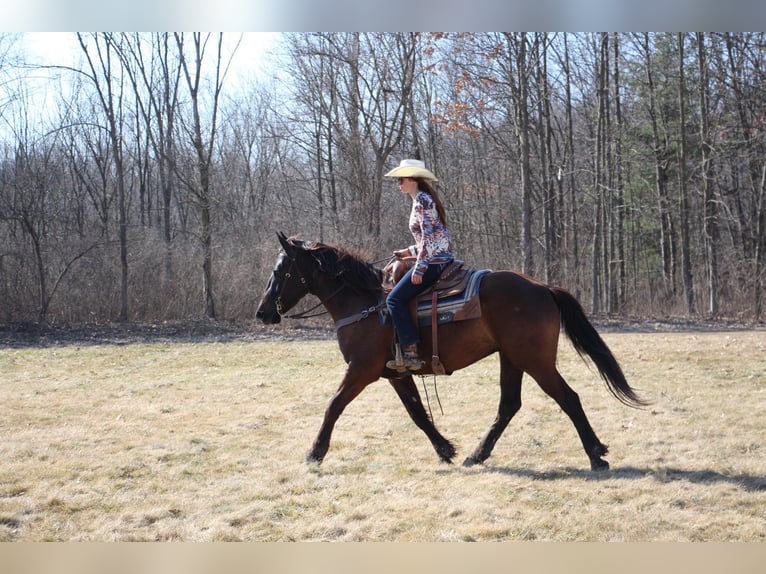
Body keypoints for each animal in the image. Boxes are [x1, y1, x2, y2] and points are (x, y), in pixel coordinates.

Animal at [256, 234, 648, 472]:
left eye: (279, 270)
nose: (262, 312)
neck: (365, 303)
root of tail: (543, 287)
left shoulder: (361, 370)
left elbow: (334, 405)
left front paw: (315, 452)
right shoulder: (396, 373)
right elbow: (417, 413)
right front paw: (446, 449)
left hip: (535, 361)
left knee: (568, 398)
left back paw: (596, 455)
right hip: (512, 359)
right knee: (509, 405)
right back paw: (477, 454)